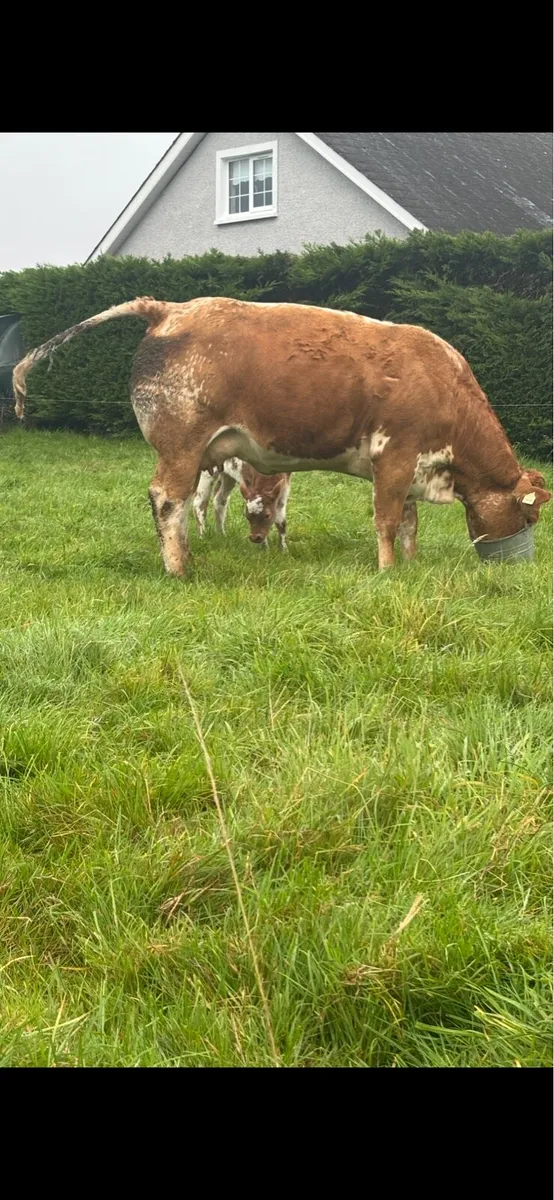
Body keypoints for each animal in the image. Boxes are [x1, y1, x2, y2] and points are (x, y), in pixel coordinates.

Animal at [13, 295, 551, 574]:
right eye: (529, 519)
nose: (519, 563)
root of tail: (172, 308)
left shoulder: (411, 465)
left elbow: (410, 522)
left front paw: (412, 564)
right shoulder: (395, 457)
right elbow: (387, 521)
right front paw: (388, 571)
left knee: (186, 505)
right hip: (181, 445)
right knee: (168, 501)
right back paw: (179, 568)